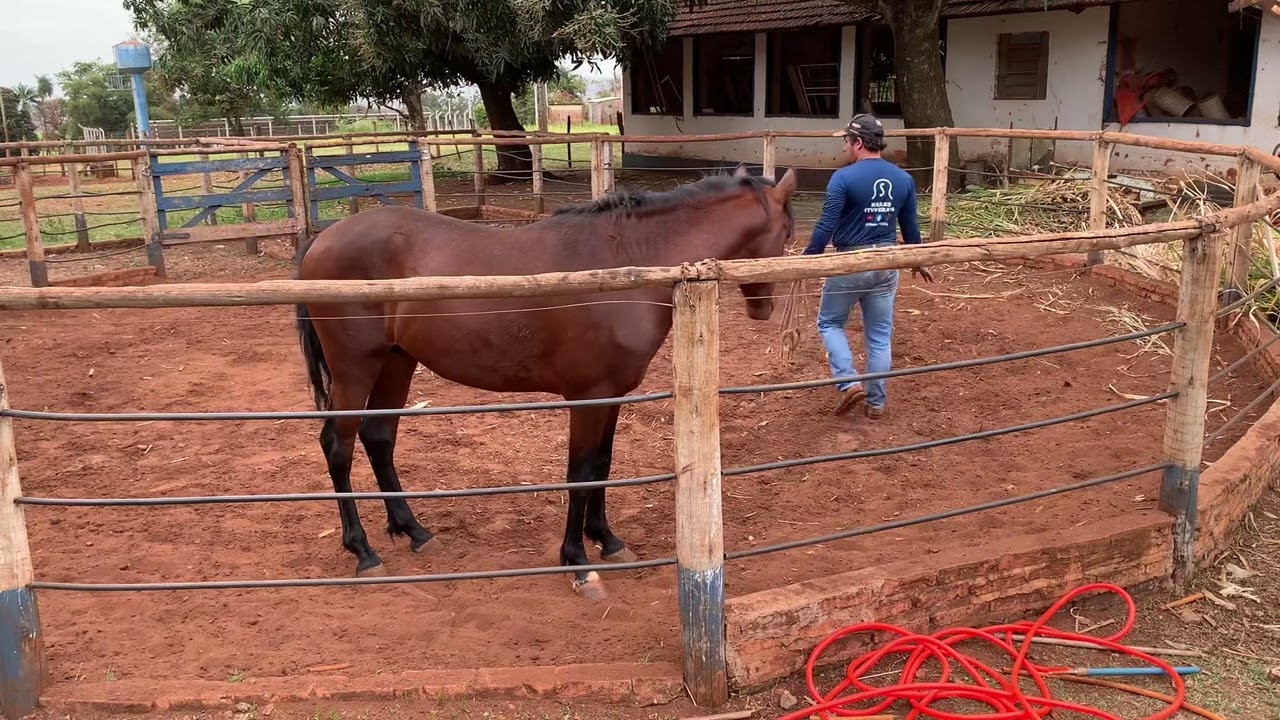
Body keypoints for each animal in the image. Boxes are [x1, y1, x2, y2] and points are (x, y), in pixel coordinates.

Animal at [293, 165, 798, 600]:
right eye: (789, 235)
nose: (763, 309)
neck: (627, 262)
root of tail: (322, 240)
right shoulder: (587, 397)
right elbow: (580, 473)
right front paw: (577, 563)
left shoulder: (612, 394)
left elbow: (602, 465)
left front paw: (607, 541)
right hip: (355, 368)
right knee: (338, 446)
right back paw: (363, 552)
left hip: (396, 362)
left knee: (379, 438)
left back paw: (414, 532)